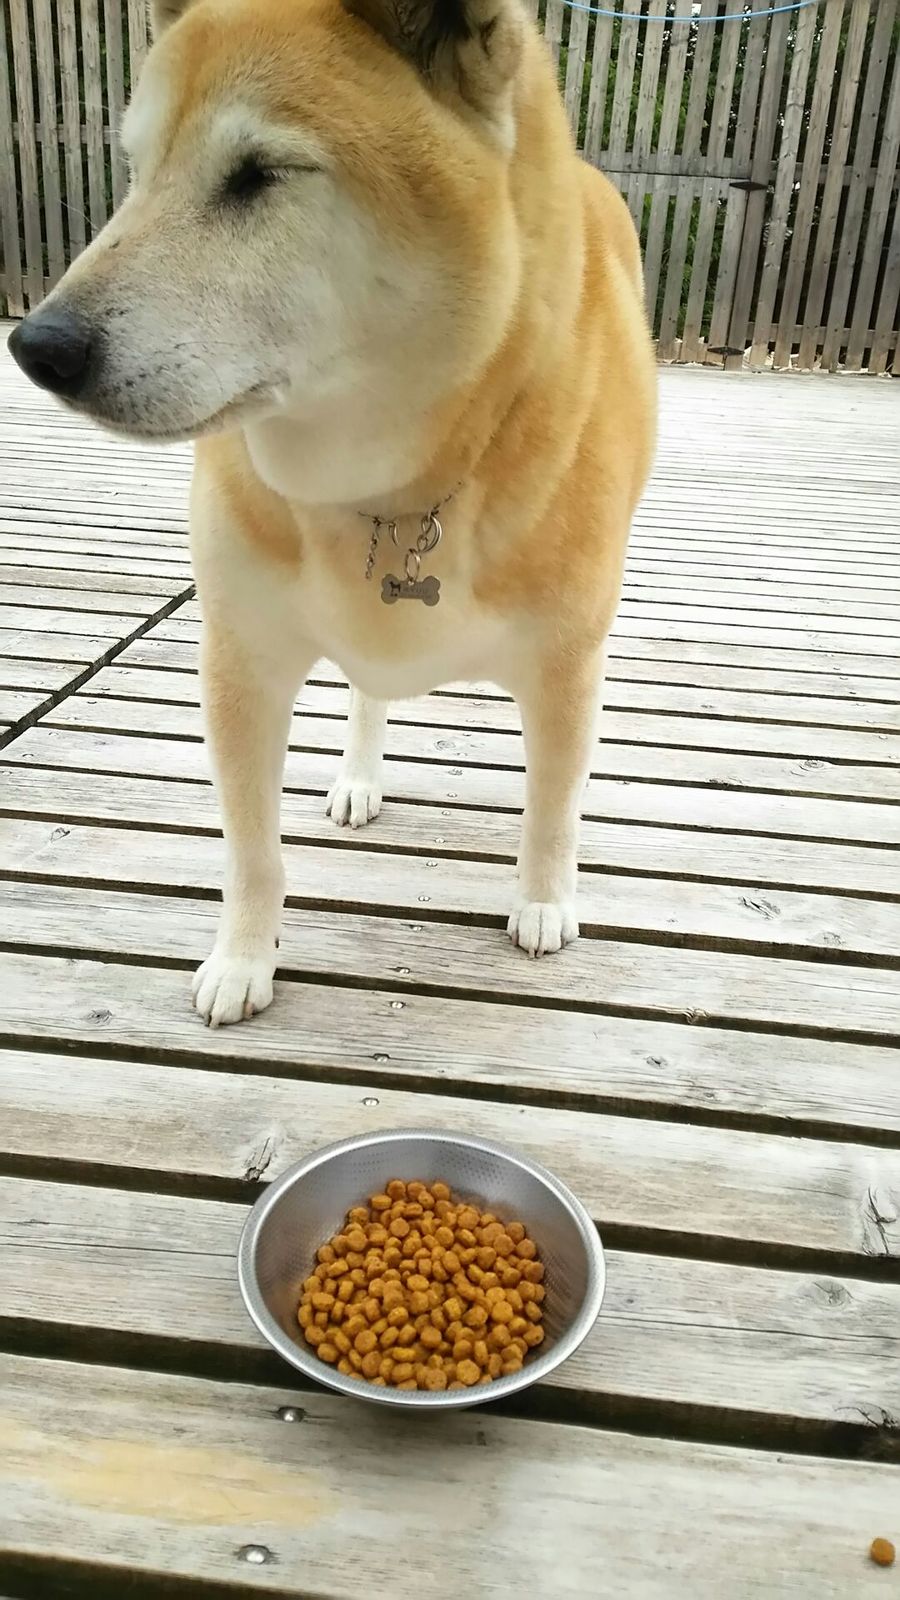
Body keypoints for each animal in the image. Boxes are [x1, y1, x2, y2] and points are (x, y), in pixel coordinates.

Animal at [8, 0, 657, 1026]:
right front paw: (244, 958)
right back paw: (358, 775)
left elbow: (553, 802)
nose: (38, 347)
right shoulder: (242, 664)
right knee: (367, 692)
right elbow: (252, 853)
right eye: (137, 169)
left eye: (258, 175)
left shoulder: (564, 663)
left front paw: (546, 899)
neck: (385, 491)